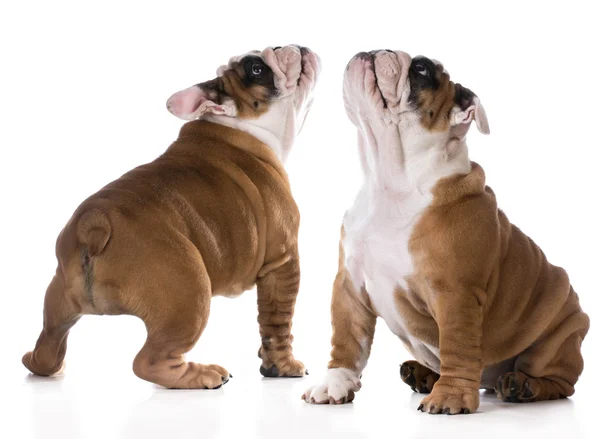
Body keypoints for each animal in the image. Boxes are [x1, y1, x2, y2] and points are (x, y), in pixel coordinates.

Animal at [22, 44, 324, 388]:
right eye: (256, 69)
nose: (285, 46)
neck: (242, 126)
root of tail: (93, 225)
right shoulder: (283, 260)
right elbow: (277, 323)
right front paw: (283, 366)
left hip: (58, 300)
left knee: (48, 345)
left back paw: (39, 362)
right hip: (188, 294)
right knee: (149, 361)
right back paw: (204, 375)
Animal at [304, 49, 592, 414]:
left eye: (421, 68)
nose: (375, 50)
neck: (392, 180)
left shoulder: (454, 293)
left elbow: (456, 345)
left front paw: (450, 395)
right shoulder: (350, 286)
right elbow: (347, 340)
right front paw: (335, 381)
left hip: (560, 334)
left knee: (560, 382)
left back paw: (522, 385)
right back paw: (422, 373)